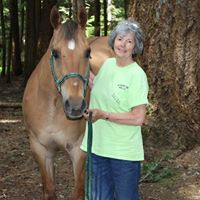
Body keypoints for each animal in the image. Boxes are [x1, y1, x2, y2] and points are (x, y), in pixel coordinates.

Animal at [22, 5, 113, 199]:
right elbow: (49, 190)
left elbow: (78, 191)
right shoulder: (41, 149)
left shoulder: (78, 150)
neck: (52, 108)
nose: (75, 106)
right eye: (55, 53)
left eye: (87, 52)